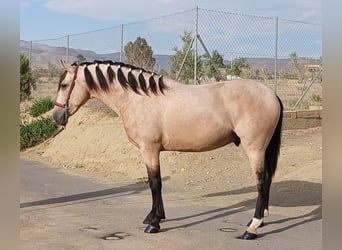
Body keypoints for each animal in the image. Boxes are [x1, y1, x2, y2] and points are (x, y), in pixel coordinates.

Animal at [53, 59, 284, 239]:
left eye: (64, 85)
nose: (56, 116)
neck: (139, 98)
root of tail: (271, 94)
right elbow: (153, 183)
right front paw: (153, 216)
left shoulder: (149, 150)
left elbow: (155, 183)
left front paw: (154, 223)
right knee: (267, 181)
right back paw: (259, 221)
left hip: (254, 148)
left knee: (261, 182)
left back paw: (252, 228)